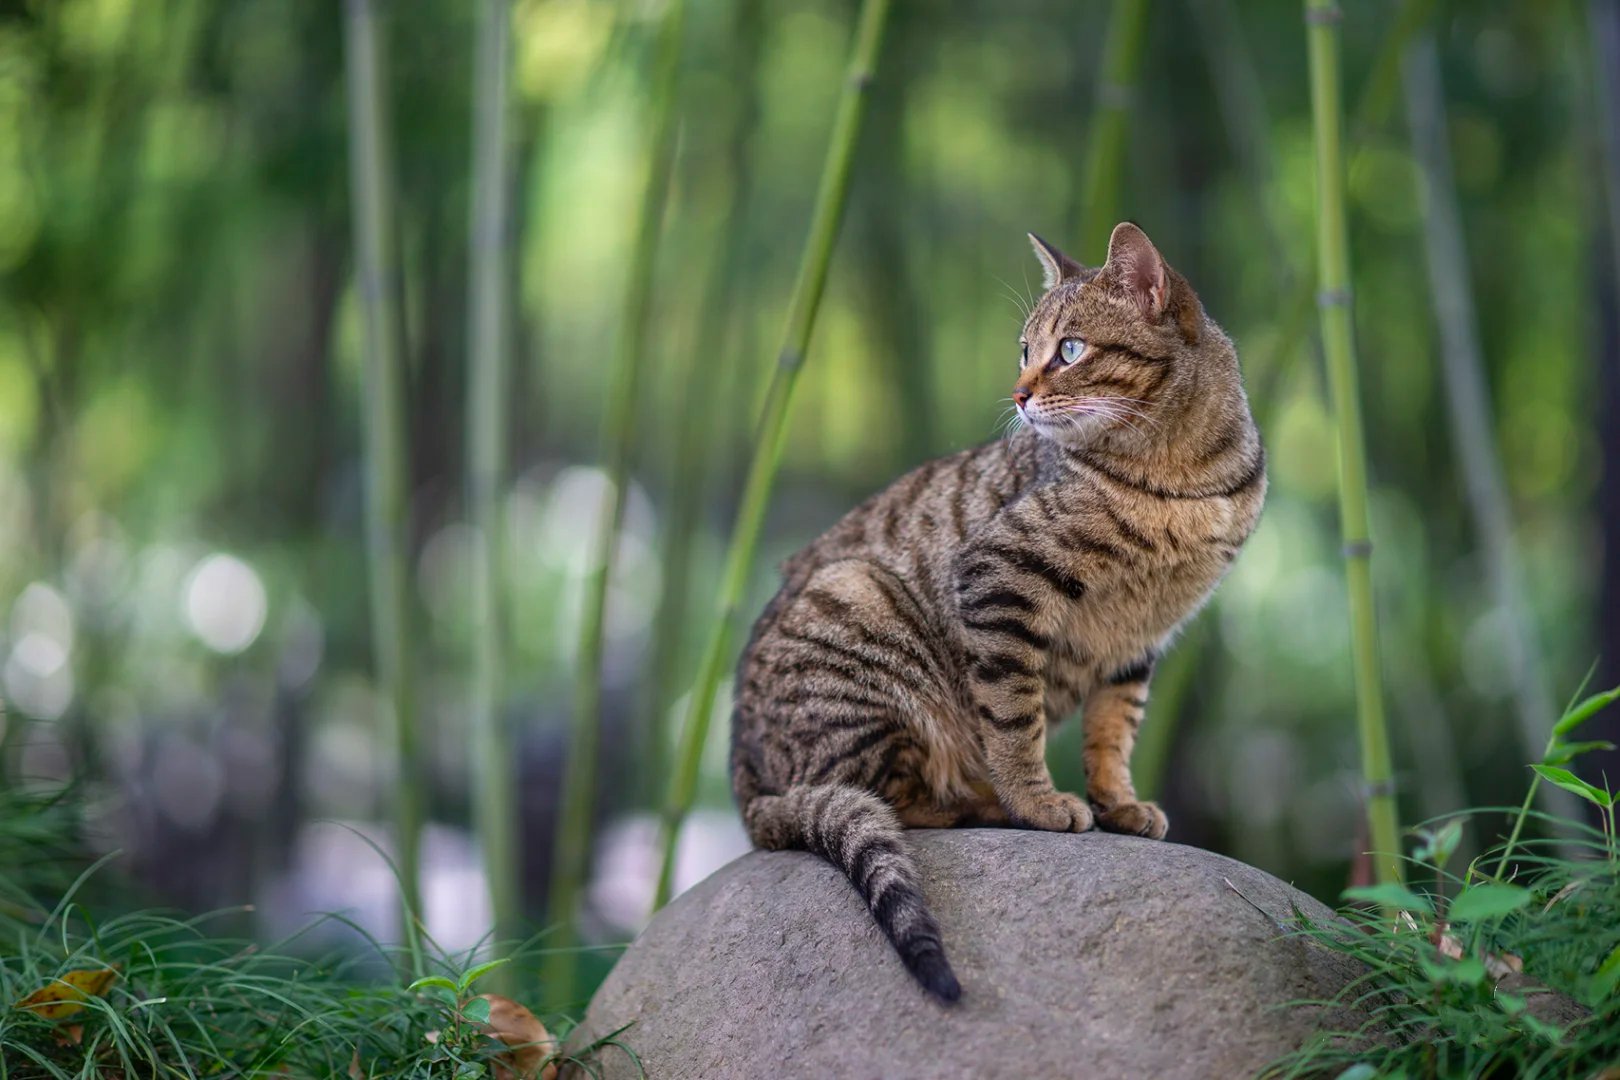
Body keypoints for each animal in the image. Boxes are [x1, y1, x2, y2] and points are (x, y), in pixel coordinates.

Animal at [729, 221, 1270, 1003]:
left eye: (1069, 350)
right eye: (1024, 349)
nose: (1016, 394)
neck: (1185, 479)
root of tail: (743, 782)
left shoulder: (1143, 635)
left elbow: (1115, 731)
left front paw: (1118, 802)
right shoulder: (999, 577)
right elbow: (1015, 720)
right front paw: (1038, 801)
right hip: (860, 605)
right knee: (886, 798)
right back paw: (983, 801)